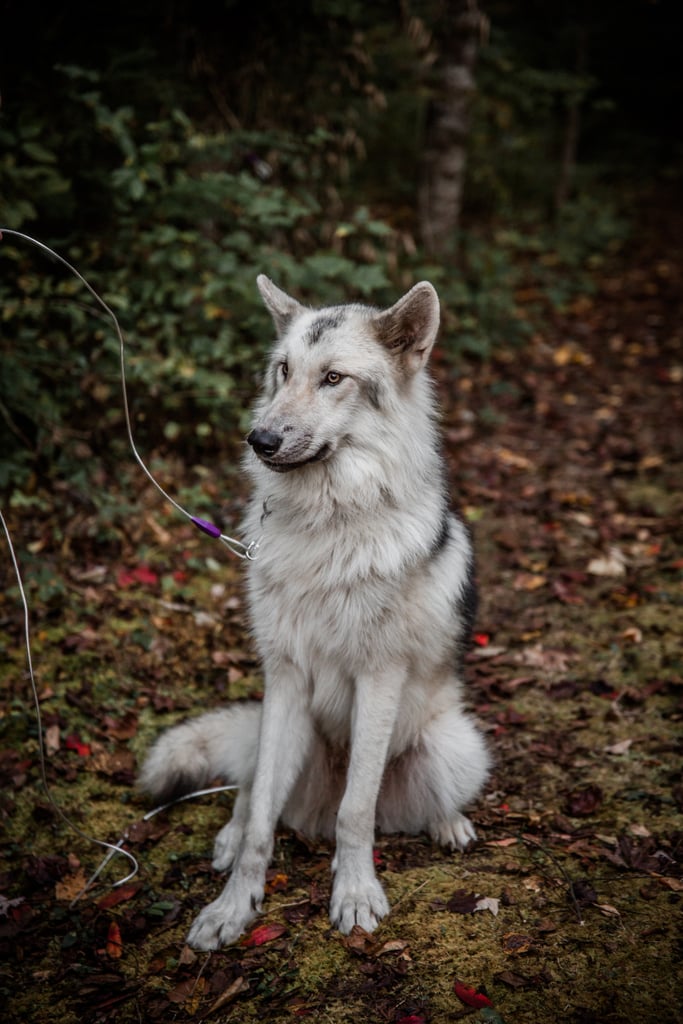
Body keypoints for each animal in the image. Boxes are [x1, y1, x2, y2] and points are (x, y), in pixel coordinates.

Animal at [140, 276, 491, 946]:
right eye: (284, 370)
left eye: (334, 378)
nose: (260, 440)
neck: (327, 527)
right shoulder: (285, 680)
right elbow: (259, 825)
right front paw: (233, 908)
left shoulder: (377, 681)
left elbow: (357, 812)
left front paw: (354, 895)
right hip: (272, 729)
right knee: (251, 794)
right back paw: (228, 838)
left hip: (453, 744)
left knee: (395, 805)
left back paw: (448, 823)